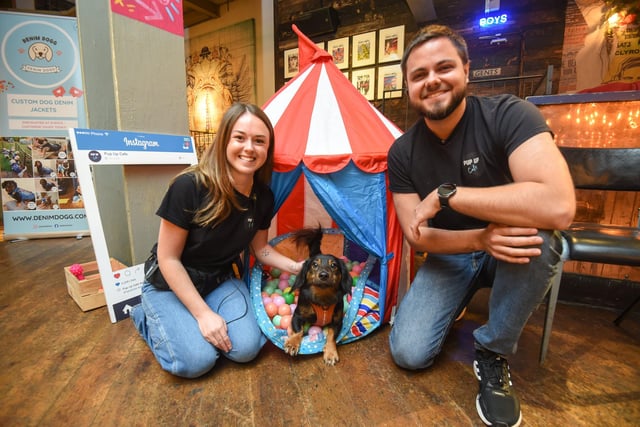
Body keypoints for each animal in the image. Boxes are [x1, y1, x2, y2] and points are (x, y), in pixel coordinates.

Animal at [284, 227, 356, 364]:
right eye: (314, 265)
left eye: (333, 265)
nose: (323, 275)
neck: (322, 296)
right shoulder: (297, 316)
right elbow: (299, 331)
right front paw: (293, 343)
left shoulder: (338, 322)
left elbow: (331, 336)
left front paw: (331, 352)